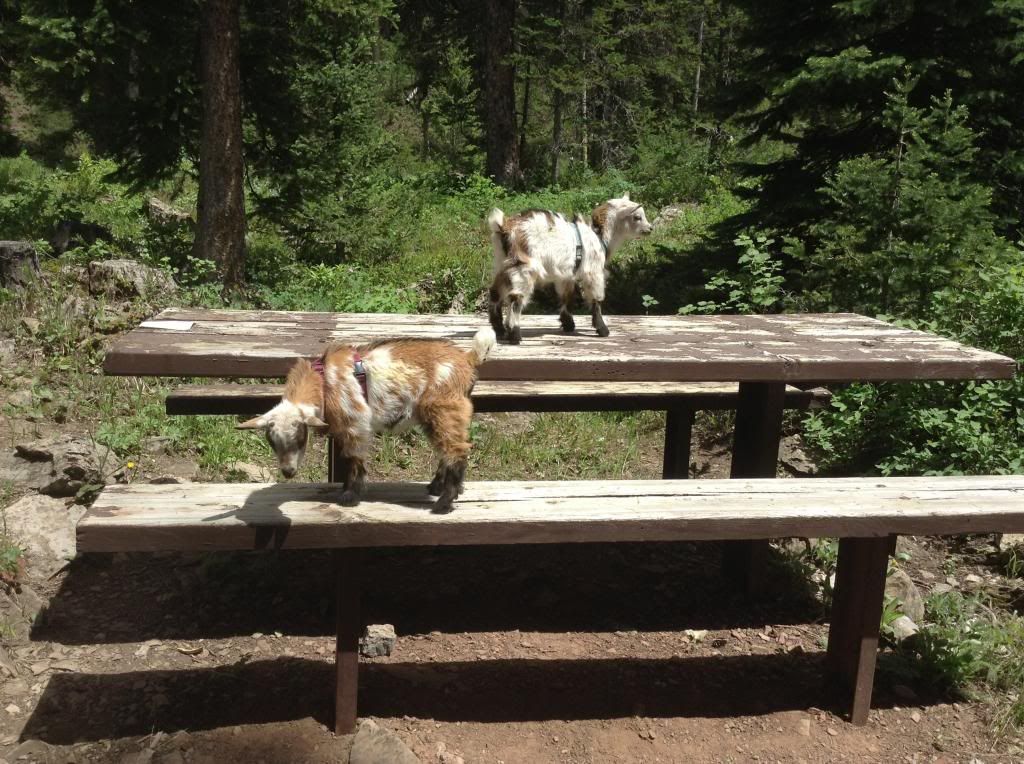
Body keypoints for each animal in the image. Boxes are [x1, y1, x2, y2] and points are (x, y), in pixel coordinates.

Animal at [237, 328, 496, 514]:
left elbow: (354, 459)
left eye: (300, 437)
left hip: (444, 409)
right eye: (271, 442)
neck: (324, 382)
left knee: (457, 449)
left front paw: (350, 496)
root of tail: (468, 358)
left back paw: (443, 503)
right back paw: (437, 487)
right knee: (447, 449)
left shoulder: (355, 424)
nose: (288, 472)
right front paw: (345, 489)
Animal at [486, 193, 653, 343]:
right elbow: (596, 299)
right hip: (523, 267)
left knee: (495, 293)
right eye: (637, 217)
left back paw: (499, 330)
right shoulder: (594, 272)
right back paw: (514, 335)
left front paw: (568, 324)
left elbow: (567, 296)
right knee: (516, 298)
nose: (650, 228)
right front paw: (603, 329)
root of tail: (504, 227)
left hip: (502, 264)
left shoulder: (566, 275)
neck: (600, 236)